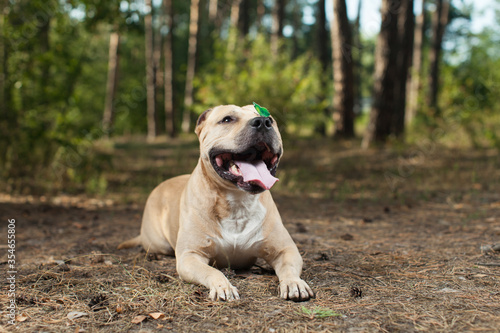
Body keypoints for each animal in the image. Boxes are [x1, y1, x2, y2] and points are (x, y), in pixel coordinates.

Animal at [117, 104, 314, 300]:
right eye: (227, 119)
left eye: (271, 119)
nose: (263, 122)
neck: (237, 201)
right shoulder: (190, 255)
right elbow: (211, 271)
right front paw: (223, 286)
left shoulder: (286, 249)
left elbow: (288, 267)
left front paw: (294, 282)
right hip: (158, 242)